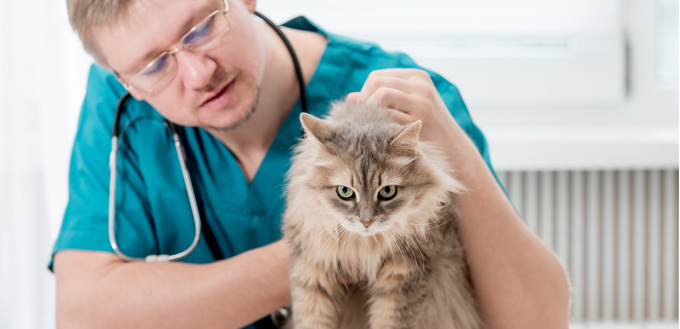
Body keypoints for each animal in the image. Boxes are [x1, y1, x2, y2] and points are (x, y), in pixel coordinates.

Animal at [278, 101, 480, 328]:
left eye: (387, 191)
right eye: (345, 191)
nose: (366, 222)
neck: (365, 246)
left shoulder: (404, 276)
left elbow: (391, 322)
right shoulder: (312, 270)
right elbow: (311, 320)